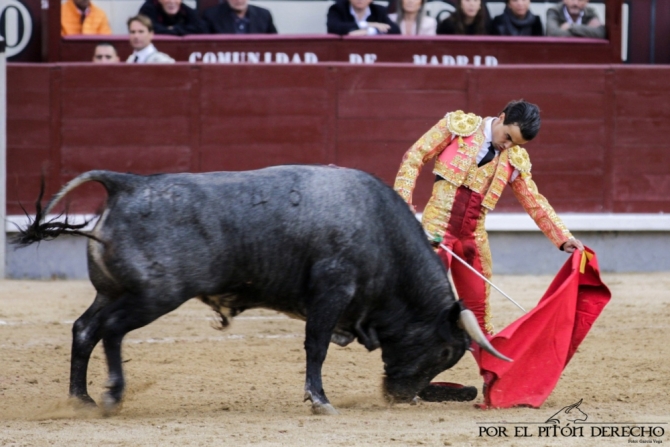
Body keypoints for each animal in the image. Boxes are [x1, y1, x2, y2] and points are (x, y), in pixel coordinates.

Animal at [15, 165, 510, 416]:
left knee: (84, 329)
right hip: (154, 296)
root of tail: (130, 184)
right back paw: (112, 395)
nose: (401, 397)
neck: (380, 232)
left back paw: (80, 399)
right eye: (447, 351)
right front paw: (320, 400)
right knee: (112, 332)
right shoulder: (332, 290)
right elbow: (315, 346)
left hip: (111, 291)